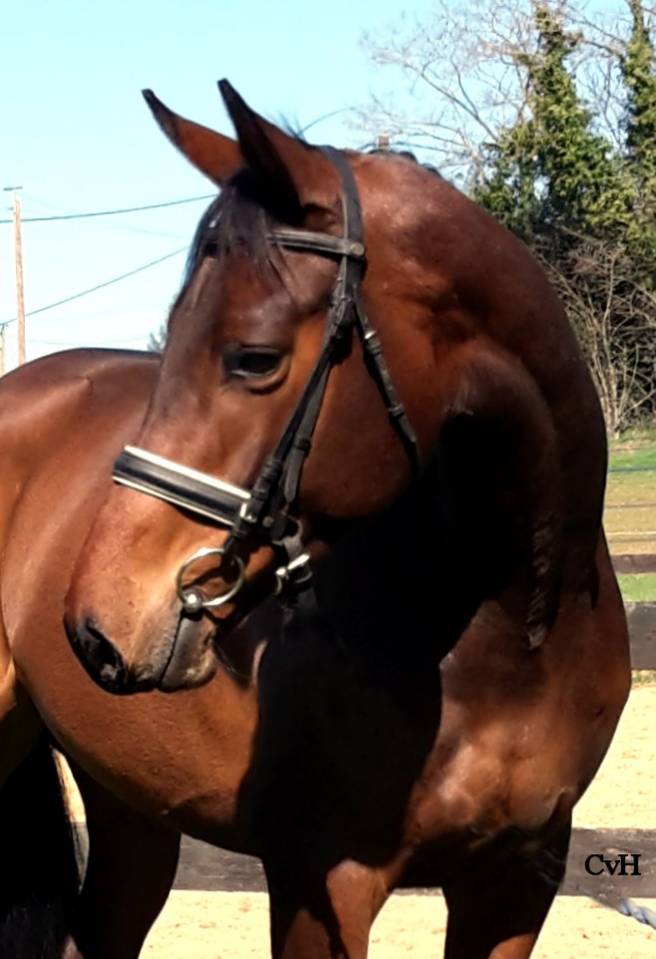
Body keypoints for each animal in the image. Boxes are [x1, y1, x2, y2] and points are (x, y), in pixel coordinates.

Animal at [0, 80, 629, 959]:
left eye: (255, 357)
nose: (98, 622)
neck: (510, 629)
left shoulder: (518, 879)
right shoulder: (320, 885)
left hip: (130, 808)